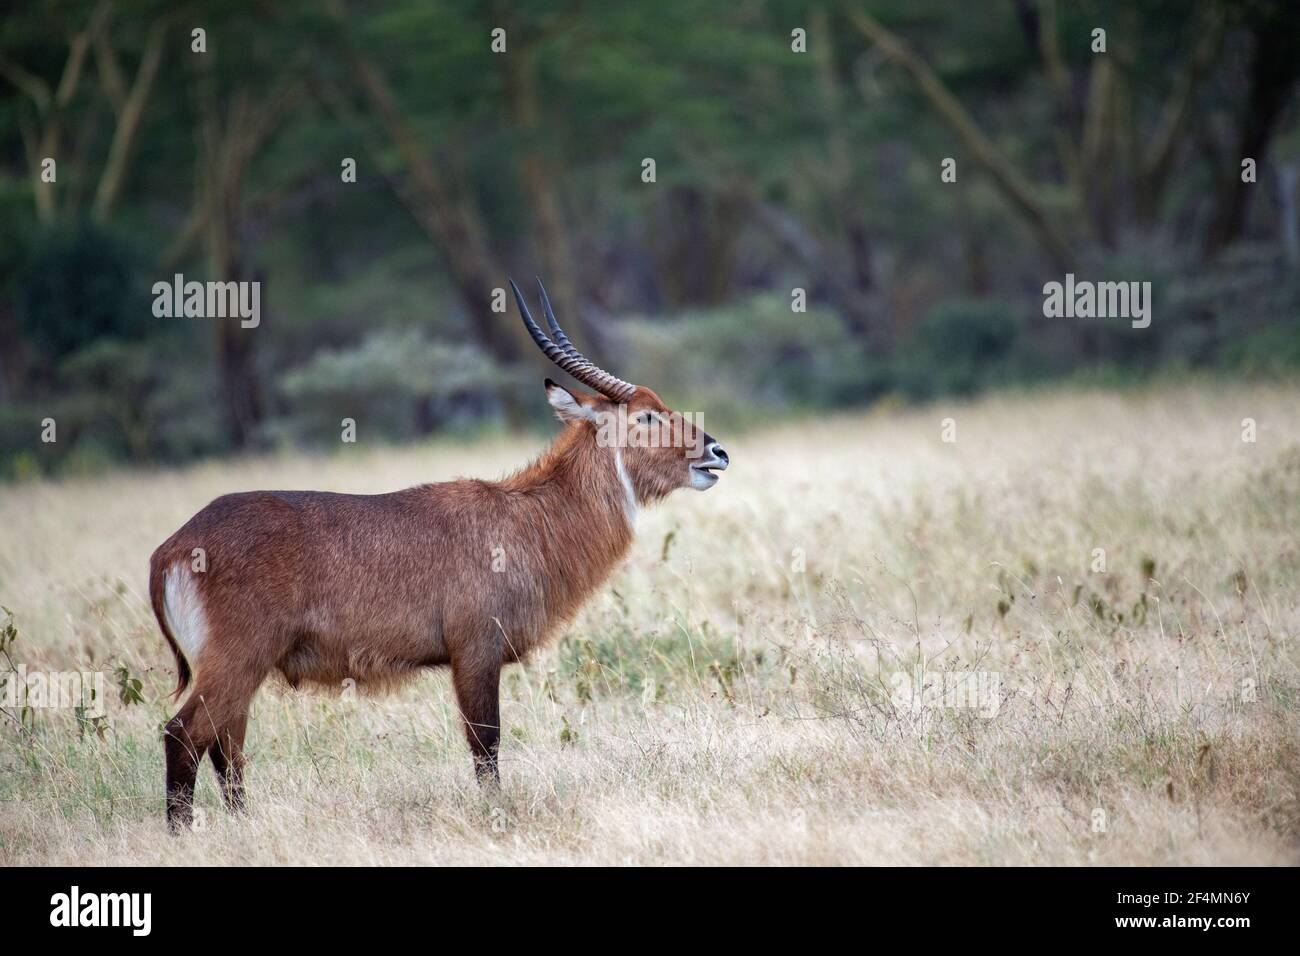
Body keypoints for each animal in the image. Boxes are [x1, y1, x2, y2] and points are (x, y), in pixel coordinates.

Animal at [149, 277, 733, 832]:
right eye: (647, 417)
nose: (717, 451)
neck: (528, 517)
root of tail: (171, 548)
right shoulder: (475, 652)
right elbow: (486, 745)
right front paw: (495, 815)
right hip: (237, 661)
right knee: (183, 736)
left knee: (225, 749)